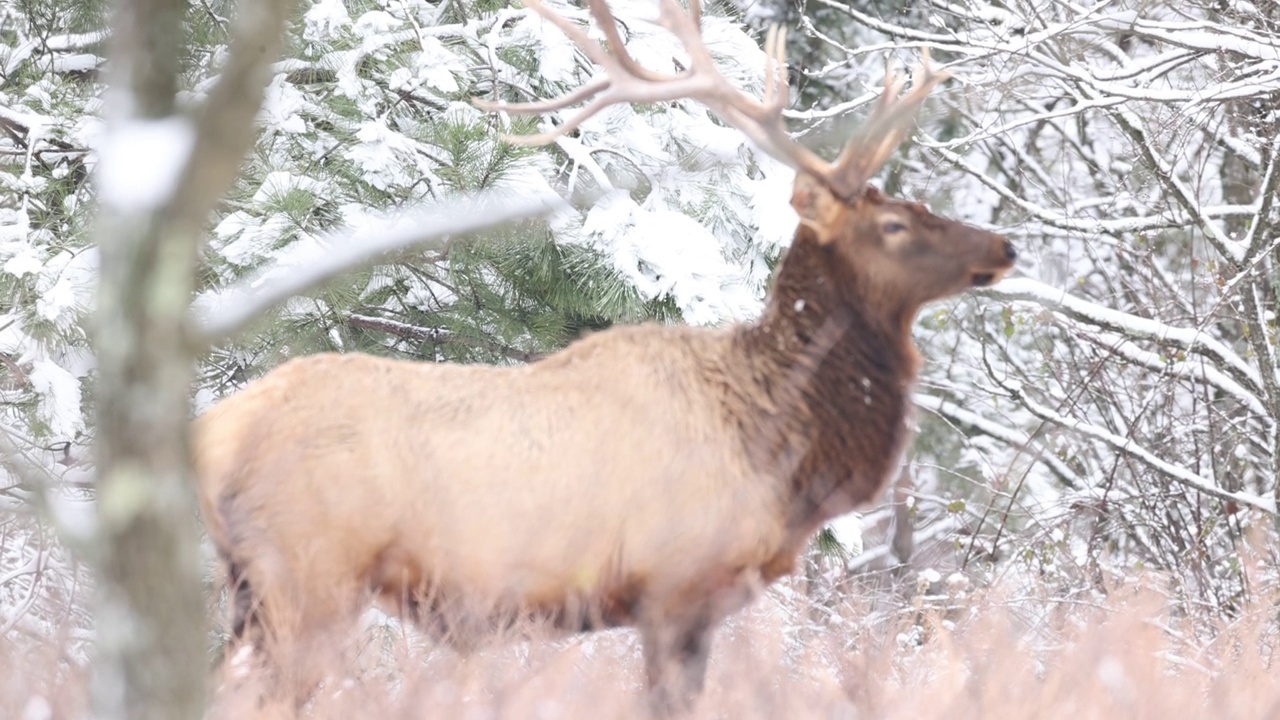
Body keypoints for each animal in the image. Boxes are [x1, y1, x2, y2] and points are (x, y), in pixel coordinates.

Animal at [194, 0, 1013, 707]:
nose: (1003, 245)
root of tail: (213, 435)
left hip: (253, 591)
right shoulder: (678, 581)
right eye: (895, 225)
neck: (783, 450)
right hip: (308, 574)